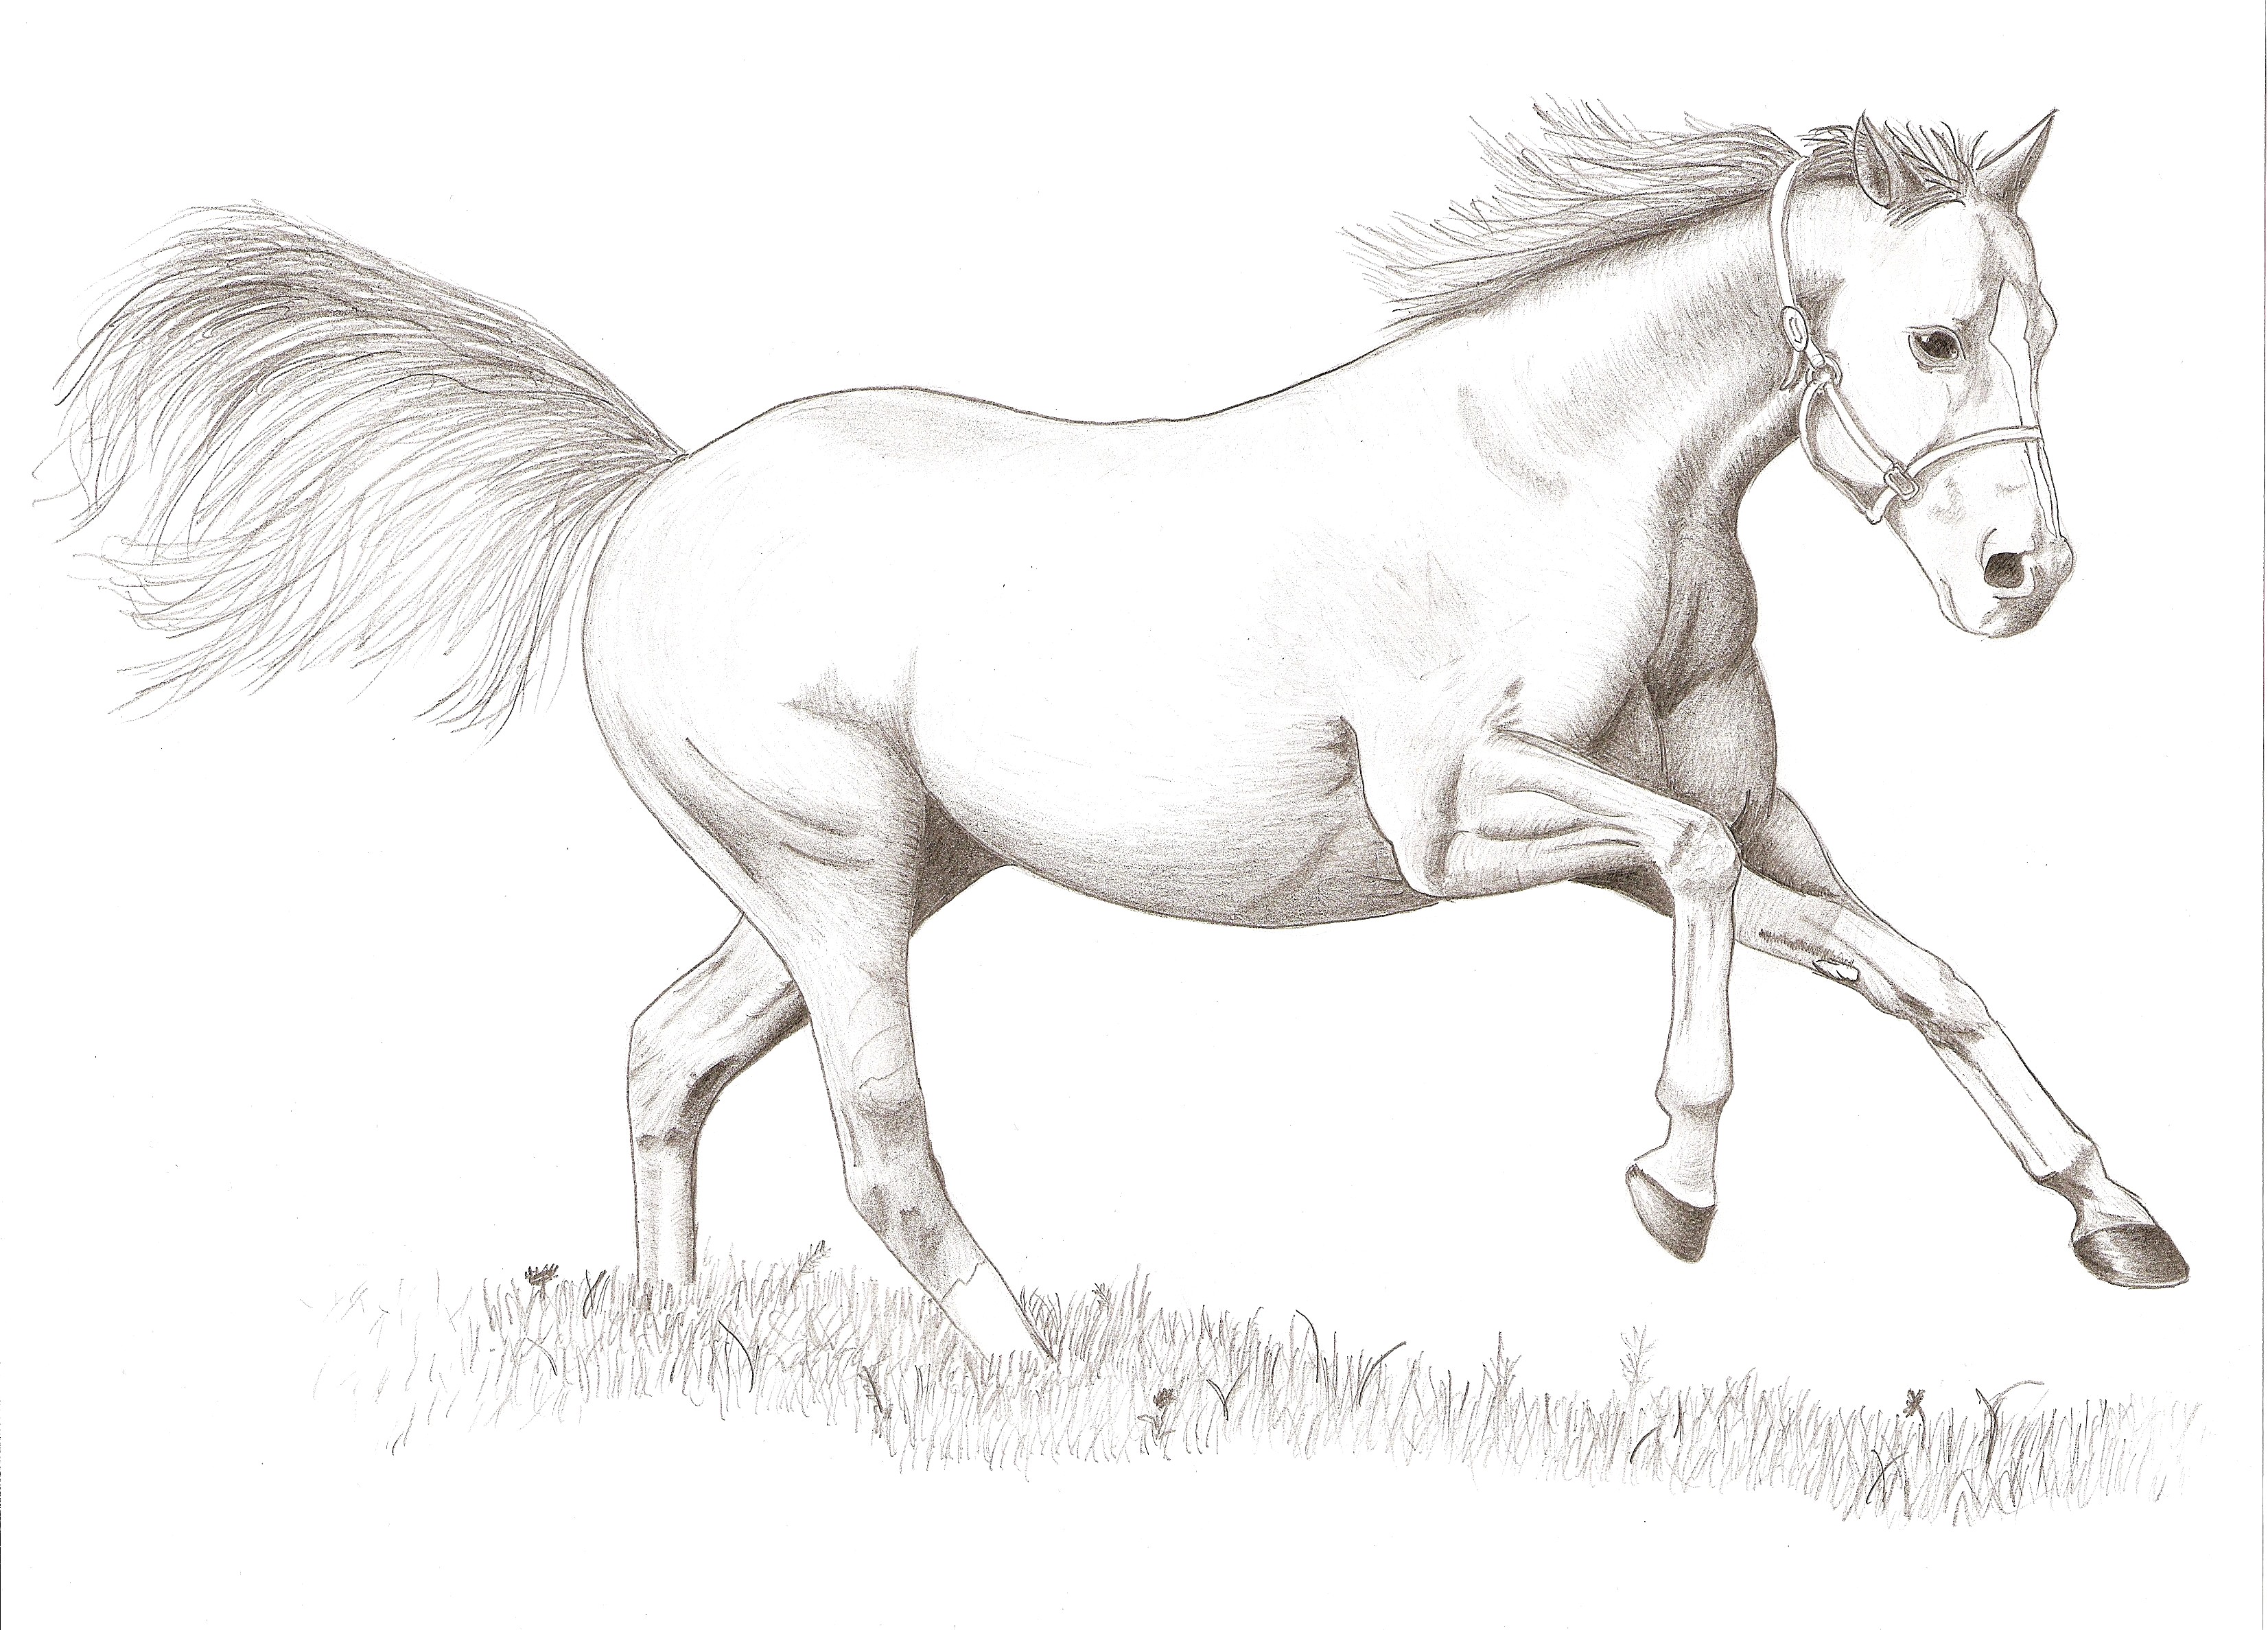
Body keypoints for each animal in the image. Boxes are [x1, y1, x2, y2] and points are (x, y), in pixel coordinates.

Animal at [58, 107, 2188, 1358]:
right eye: (1932, 337)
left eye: (2047, 331)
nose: (2022, 575)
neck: (1578, 474)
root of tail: (656, 490)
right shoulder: (1474, 820)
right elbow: (1703, 875)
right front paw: (1675, 1188)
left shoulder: (1743, 819)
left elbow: (1913, 965)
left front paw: (2119, 1220)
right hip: (835, 875)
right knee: (880, 1142)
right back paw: (1022, 1373)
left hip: (869, 874)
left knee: (670, 1050)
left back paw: (675, 1350)